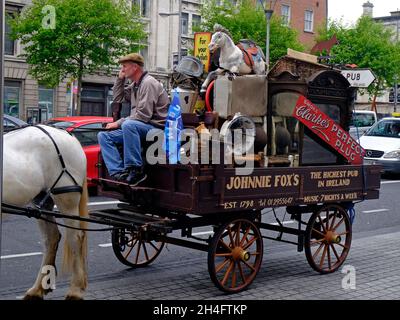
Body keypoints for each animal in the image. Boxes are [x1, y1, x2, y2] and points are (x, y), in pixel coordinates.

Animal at [2, 125, 88, 300]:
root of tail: (67, 134)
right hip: (41, 203)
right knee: (51, 238)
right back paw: (37, 289)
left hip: (67, 200)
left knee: (75, 237)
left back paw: (75, 289)